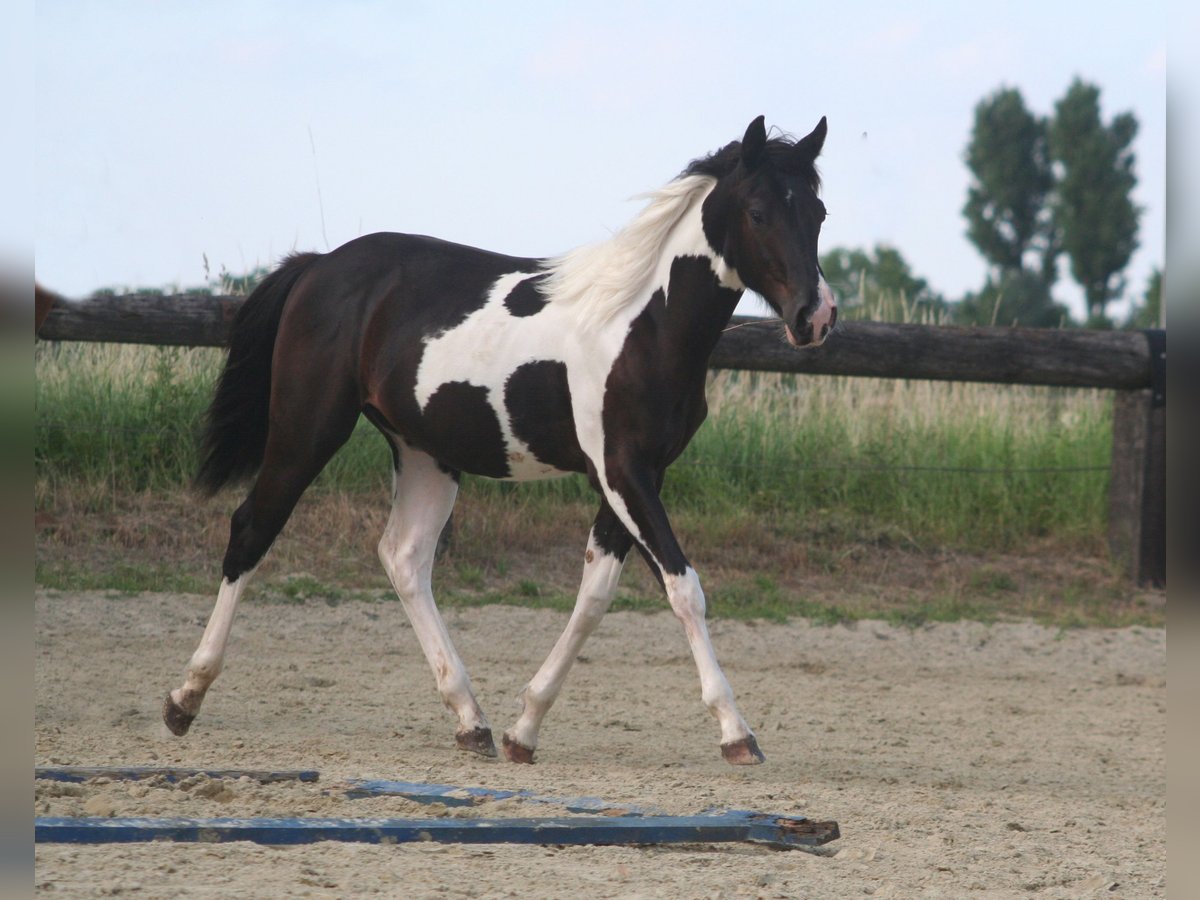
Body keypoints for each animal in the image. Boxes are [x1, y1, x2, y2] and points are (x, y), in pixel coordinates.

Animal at [164, 115, 836, 766]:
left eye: (819, 212)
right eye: (758, 212)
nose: (817, 316)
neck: (641, 322)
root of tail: (319, 266)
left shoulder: (639, 474)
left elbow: (595, 594)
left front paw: (525, 730)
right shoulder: (621, 470)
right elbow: (683, 587)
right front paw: (736, 733)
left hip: (425, 455)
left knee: (404, 557)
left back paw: (472, 722)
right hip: (307, 429)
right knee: (252, 529)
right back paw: (184, 698)